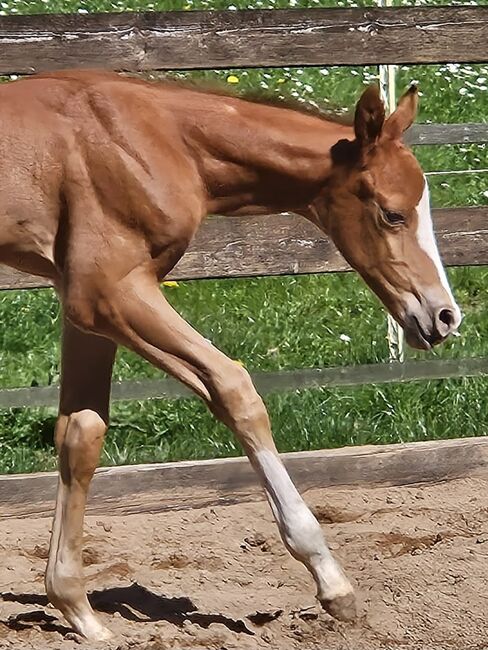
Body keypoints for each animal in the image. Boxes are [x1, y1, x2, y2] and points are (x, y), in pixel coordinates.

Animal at [0, 72, 460, 636]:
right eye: (393, 214)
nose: (445, 317)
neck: (161, 141)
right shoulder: (111, 291)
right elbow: (234, 388)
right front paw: (334, 584)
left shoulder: (83, 304)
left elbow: (81, 433)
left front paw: (79, 610)